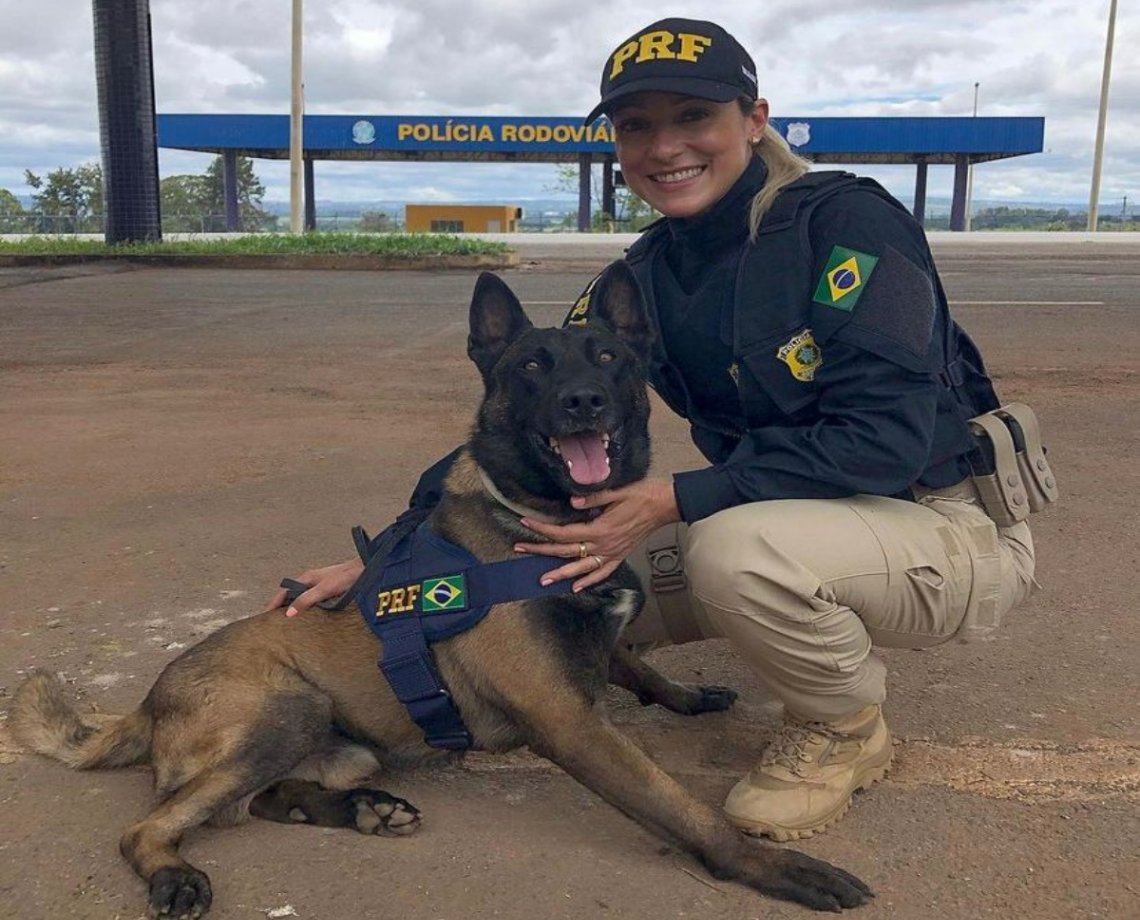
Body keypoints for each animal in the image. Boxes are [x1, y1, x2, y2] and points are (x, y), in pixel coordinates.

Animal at [8, 261, 866, 920]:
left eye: (609, 357)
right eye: (531, 367)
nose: (583, 401)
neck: (539, 515)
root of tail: (148, 701)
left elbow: (637, 664)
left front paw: (685, 696)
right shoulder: (569, 721)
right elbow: (680, 805)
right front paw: (775, 869)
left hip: (342, 741)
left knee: (253, 801)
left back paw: (361, 810)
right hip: (288, 708)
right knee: (154, 825)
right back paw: (176, 873)